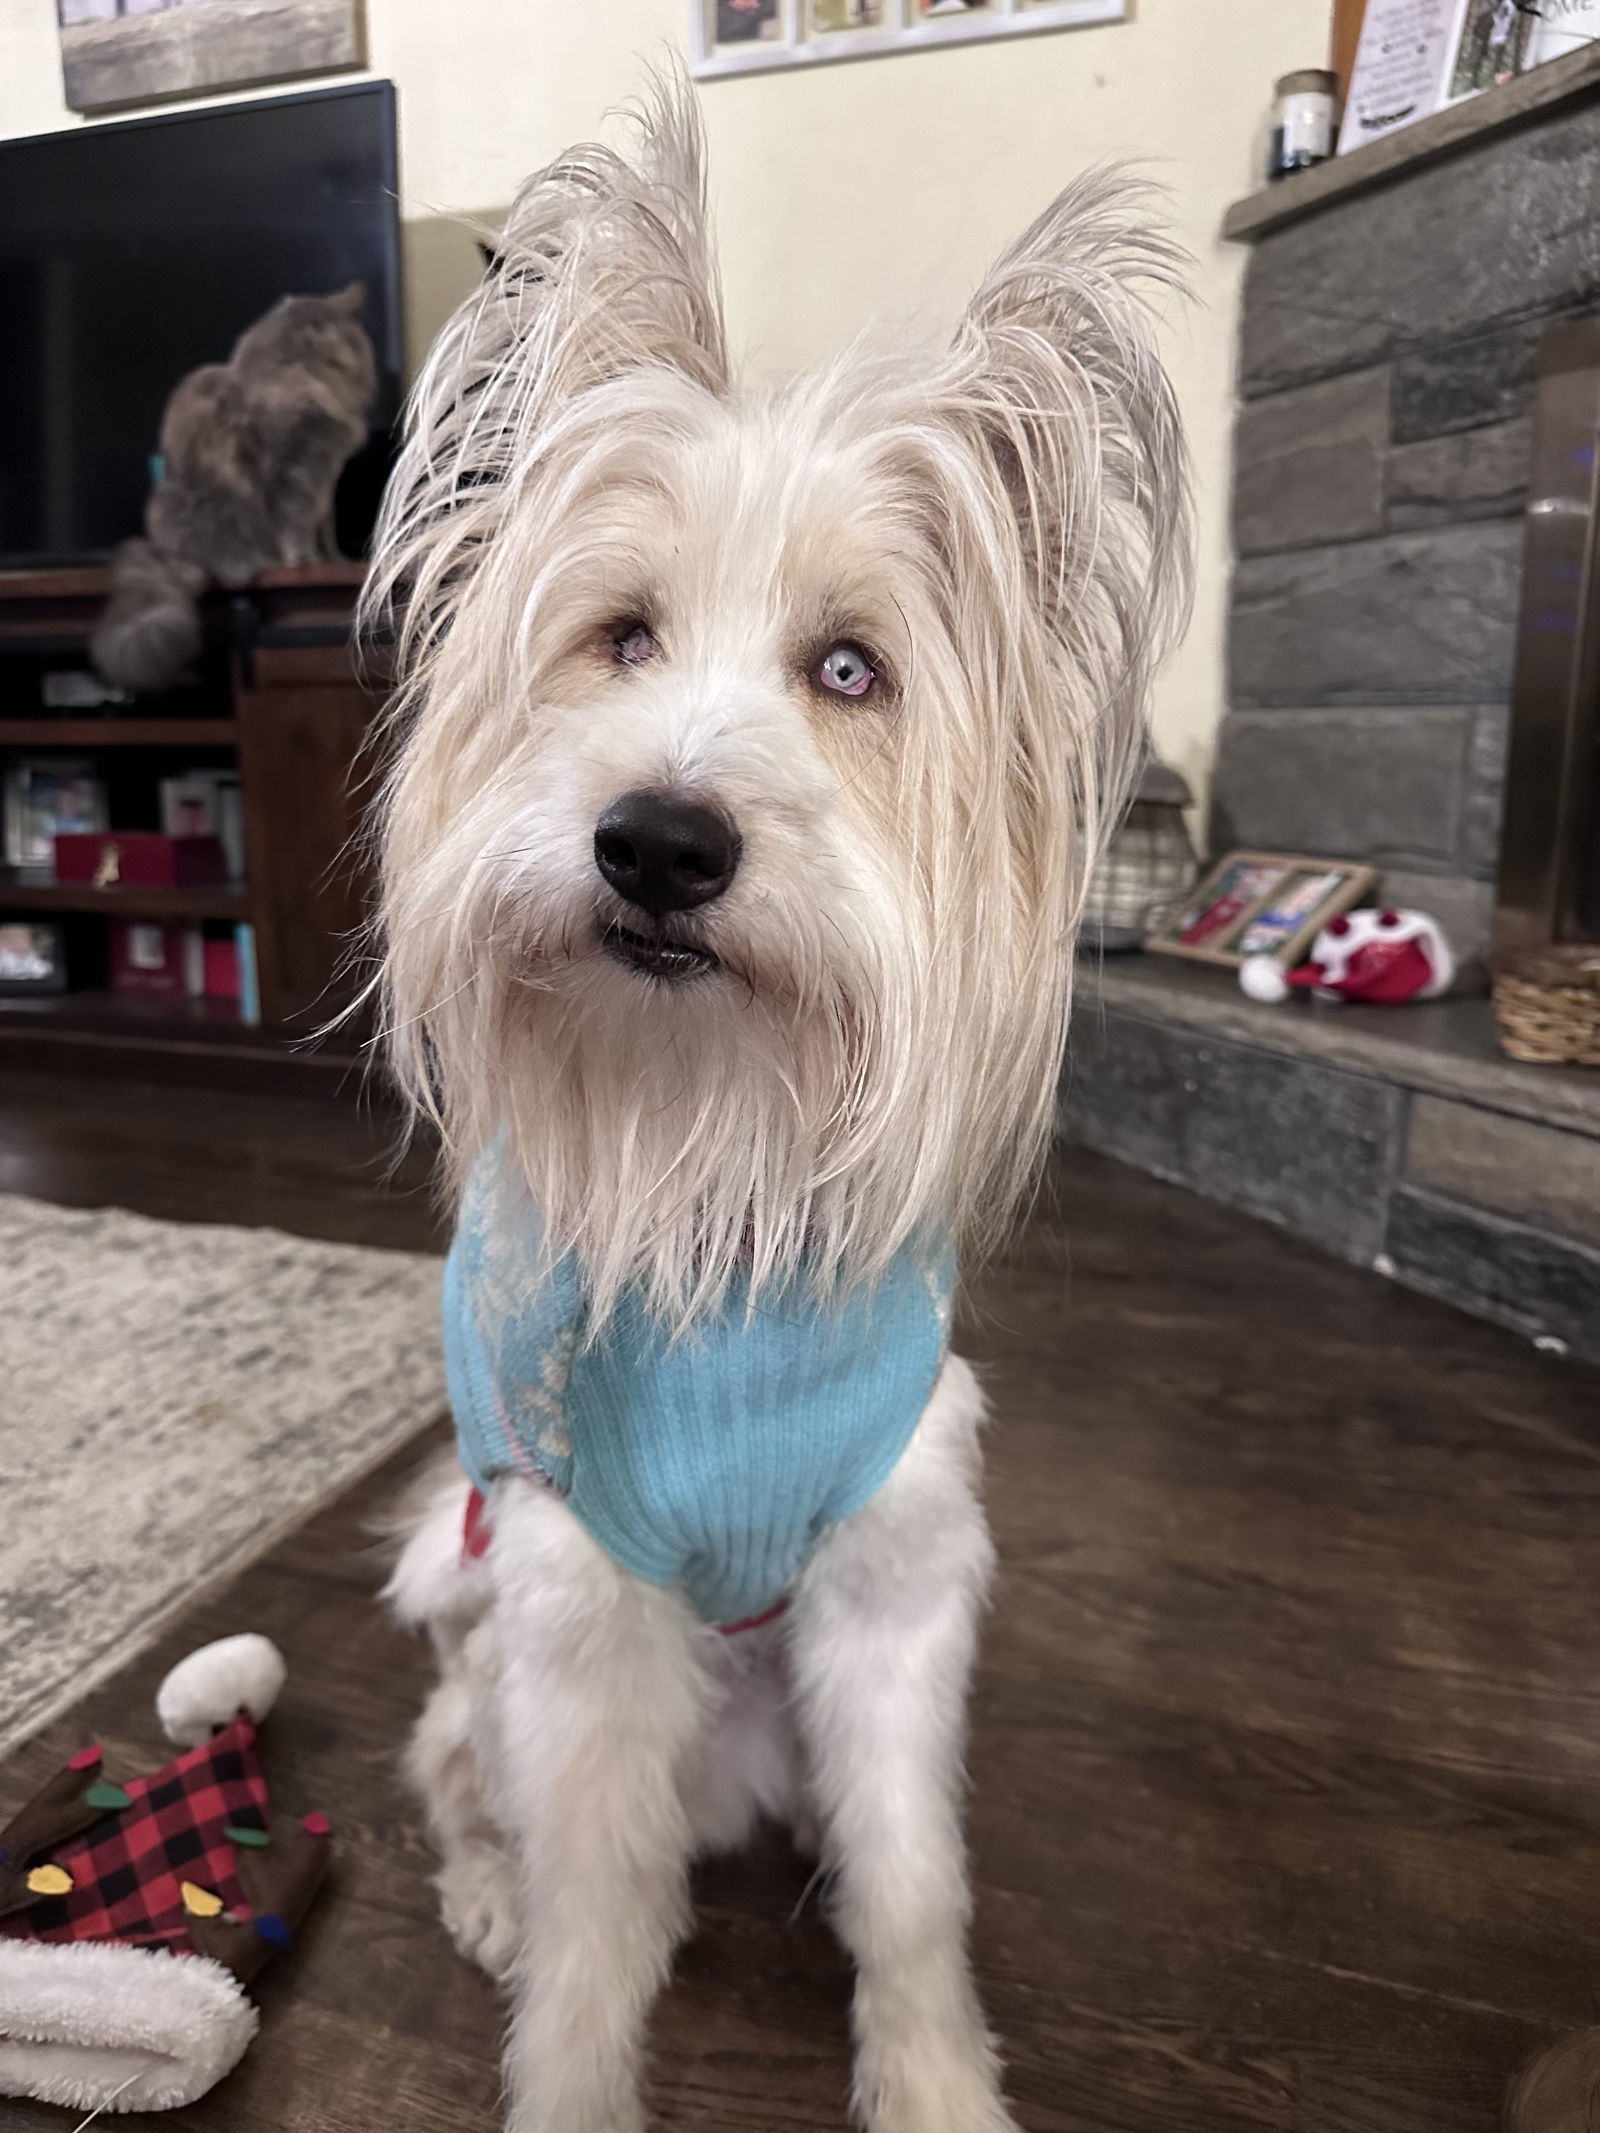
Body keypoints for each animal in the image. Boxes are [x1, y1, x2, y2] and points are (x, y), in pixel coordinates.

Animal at [93, 283, 379, 691]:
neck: (302, 368)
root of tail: (166, 550)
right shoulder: (294, 471)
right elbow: (298, 529)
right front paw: (304, 564)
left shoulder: (325, 475)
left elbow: (326, 527)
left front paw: (336, 562)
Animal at [373, 78, 1194, 2133]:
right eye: (621, 638)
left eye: (851, 670)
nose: (659, 842)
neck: (712, 1132)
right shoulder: (580, 1621)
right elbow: (594, 1939)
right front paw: (568, 2079)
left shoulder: (895, 1595)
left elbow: (912, 1887)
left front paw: (937, 2081)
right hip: (488, 1649)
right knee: (459, 1779)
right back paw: (483, 1886)